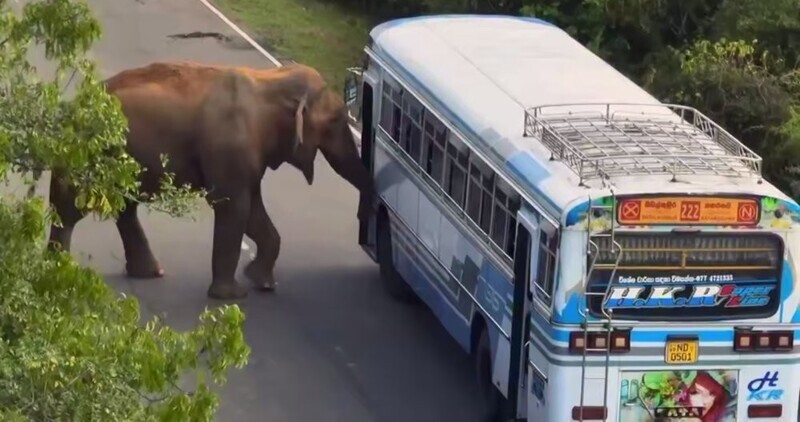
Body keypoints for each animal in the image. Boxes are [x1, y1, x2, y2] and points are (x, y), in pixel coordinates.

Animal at [47, 61, 376, 300]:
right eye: (336, 121)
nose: (368, 214)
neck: (272, 80)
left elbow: (252, 210)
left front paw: (262, 282)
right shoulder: (231, 148)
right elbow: (234, 207)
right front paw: (232, 297)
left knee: (123, 206)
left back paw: (151, 272)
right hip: (86, 152)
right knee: (69, 207)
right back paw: (55, 269)